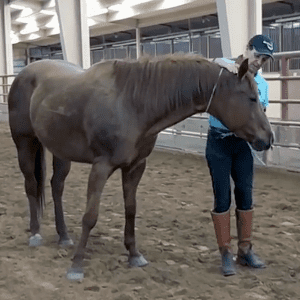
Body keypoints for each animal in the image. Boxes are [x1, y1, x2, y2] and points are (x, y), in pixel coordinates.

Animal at [7, 53, 274, 278]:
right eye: (251, 98)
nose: (268, 138)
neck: (132, 103)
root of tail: (25, 73)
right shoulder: (101, 167)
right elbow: (90, 216)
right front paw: (76, 265)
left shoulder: (135, 167)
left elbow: (131, 209)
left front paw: (134, 255)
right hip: (25, 144)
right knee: (31, 185)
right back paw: (35, 234)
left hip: (61, 152)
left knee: (56, 187)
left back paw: (63, 236)